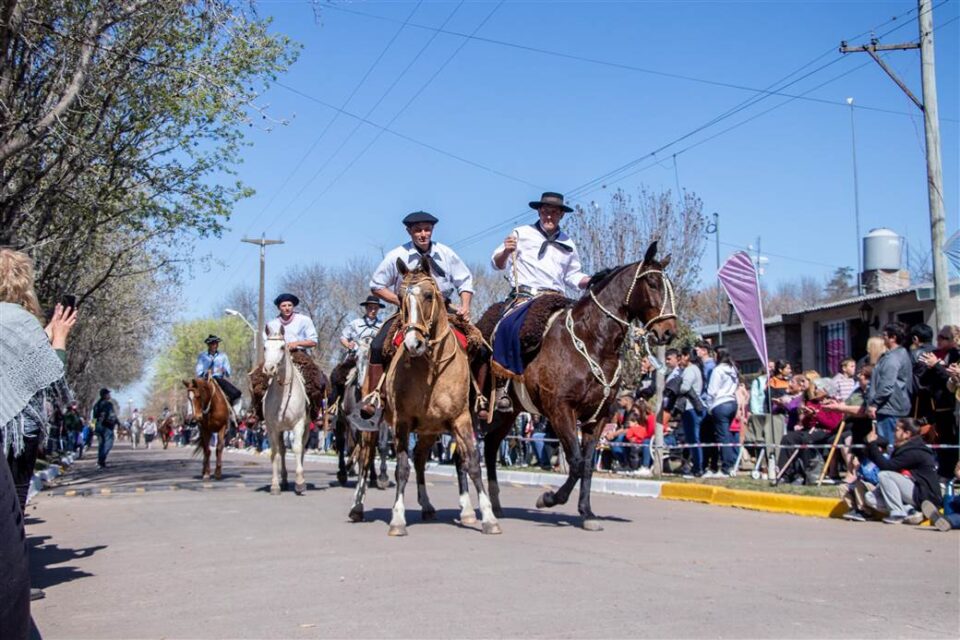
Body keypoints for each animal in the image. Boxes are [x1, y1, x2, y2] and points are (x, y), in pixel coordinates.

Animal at [260, 324, 310, 496]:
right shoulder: (271, 427)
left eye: (282, 347)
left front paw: (300, 483)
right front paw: (275, 485)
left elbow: (297, 448)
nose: (269, 368)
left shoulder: (299, 423)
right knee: (282, 450)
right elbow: (274, 452)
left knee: (302, 447)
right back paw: (285, 479)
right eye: (265, 347)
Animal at [352, 254, 502, 536]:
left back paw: (427, 505)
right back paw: (357, 507)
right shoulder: (402, 422)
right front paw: (397, 519)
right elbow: (401, 468)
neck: (431, 367)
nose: (414, 343)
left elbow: (471, 462)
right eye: (401, 297)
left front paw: (487, 517)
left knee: (420, 458)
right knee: (366, 459)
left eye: (429, 295)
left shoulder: (461, 419)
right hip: (373, 425)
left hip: (430, 430)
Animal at [478, 240, 676, 528]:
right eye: (651, 282)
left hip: (508, 413)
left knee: (491, 445)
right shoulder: (561, 410)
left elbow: (586, 465)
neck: (592, 341)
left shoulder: (598, 417)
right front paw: (549, 498)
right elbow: (575, 460)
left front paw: (587, 513)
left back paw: (495, 505)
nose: (668, 331)